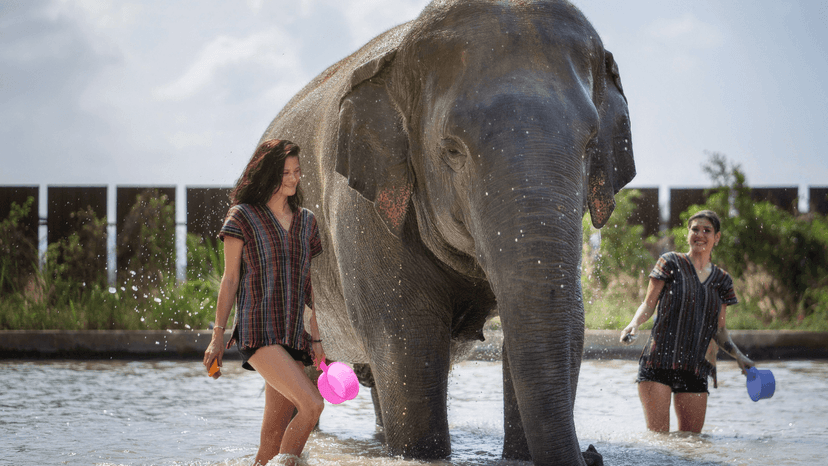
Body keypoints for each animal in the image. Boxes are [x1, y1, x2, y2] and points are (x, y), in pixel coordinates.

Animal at [259, 0, 634, 464]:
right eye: (451, 150)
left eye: (590, 144)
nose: (593, 451)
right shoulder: (362, 211)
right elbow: (407, 339)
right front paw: (422, 451)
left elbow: (567, 328)